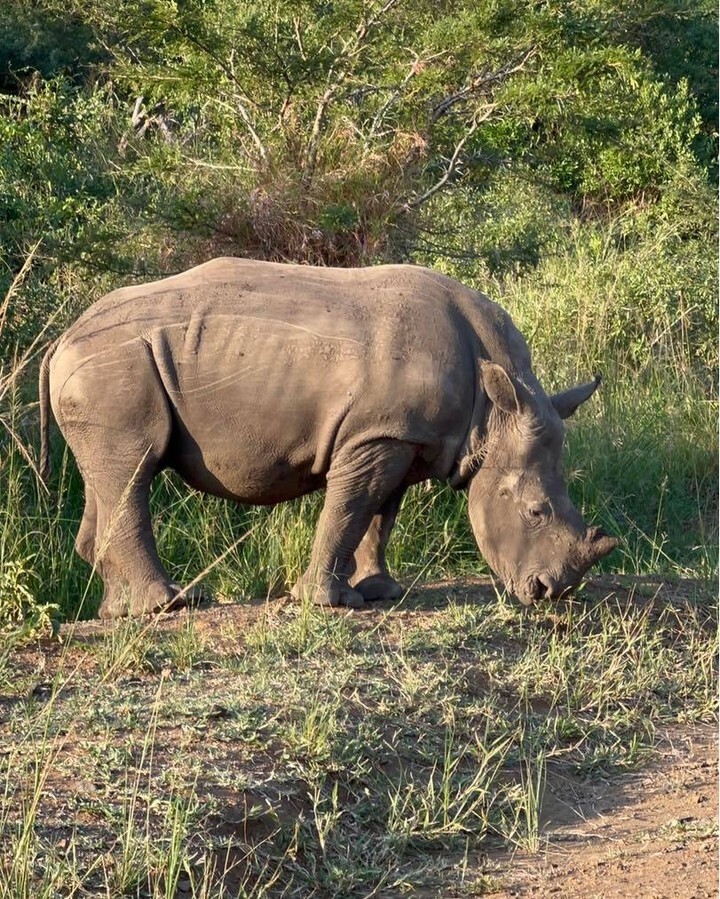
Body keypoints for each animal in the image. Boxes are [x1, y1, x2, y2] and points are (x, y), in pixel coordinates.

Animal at [39, 258, 617, 618]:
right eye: (535, 511)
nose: (550, 592)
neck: (493, 413)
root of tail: (62, 337)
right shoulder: (377, 435)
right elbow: (351, 507)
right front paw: (328, 602)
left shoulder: (399, 436)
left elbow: (381, 513)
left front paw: (381, 592)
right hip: (114, 364)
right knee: (134, 469)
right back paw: (169, 606)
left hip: (106, 366)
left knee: (111, 474)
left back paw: (119, 612)